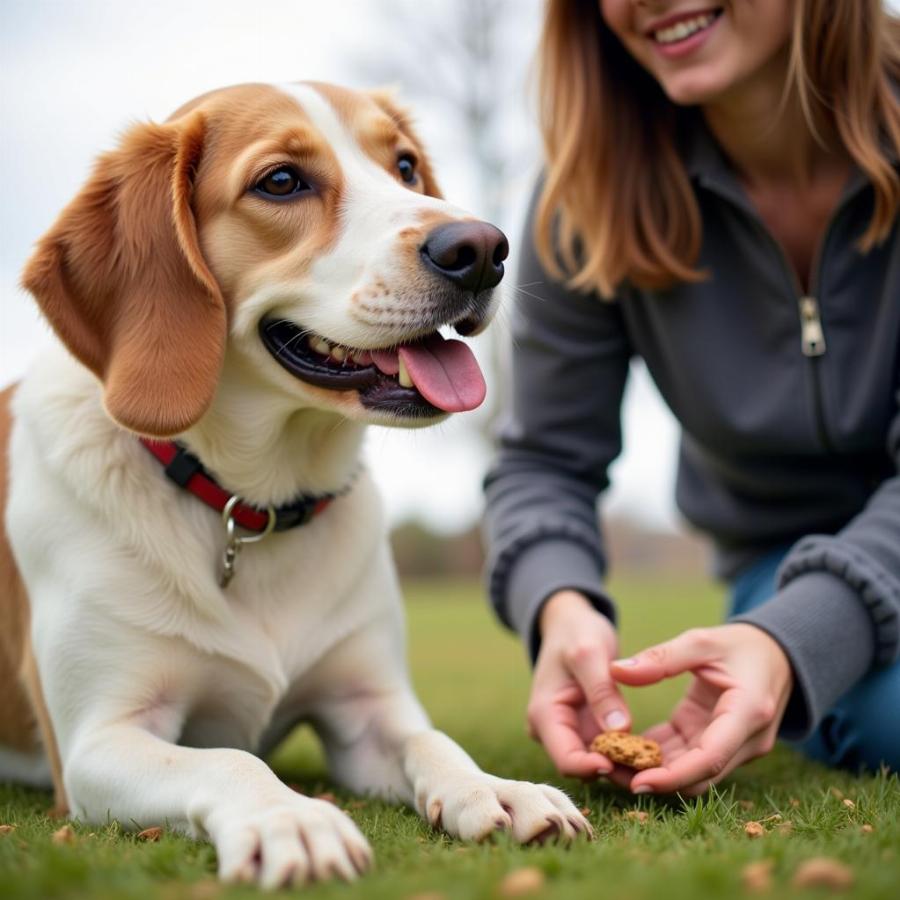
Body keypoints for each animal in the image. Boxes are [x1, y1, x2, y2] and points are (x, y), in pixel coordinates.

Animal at [0, 82, 592, 884]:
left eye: (405, 166)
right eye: (281, 181)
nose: (482, 249)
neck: (251, 505)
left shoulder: (367, 708)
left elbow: (432, 739)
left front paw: (496, 788)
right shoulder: (101, 739)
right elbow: (229, 760)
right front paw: (292, 818)